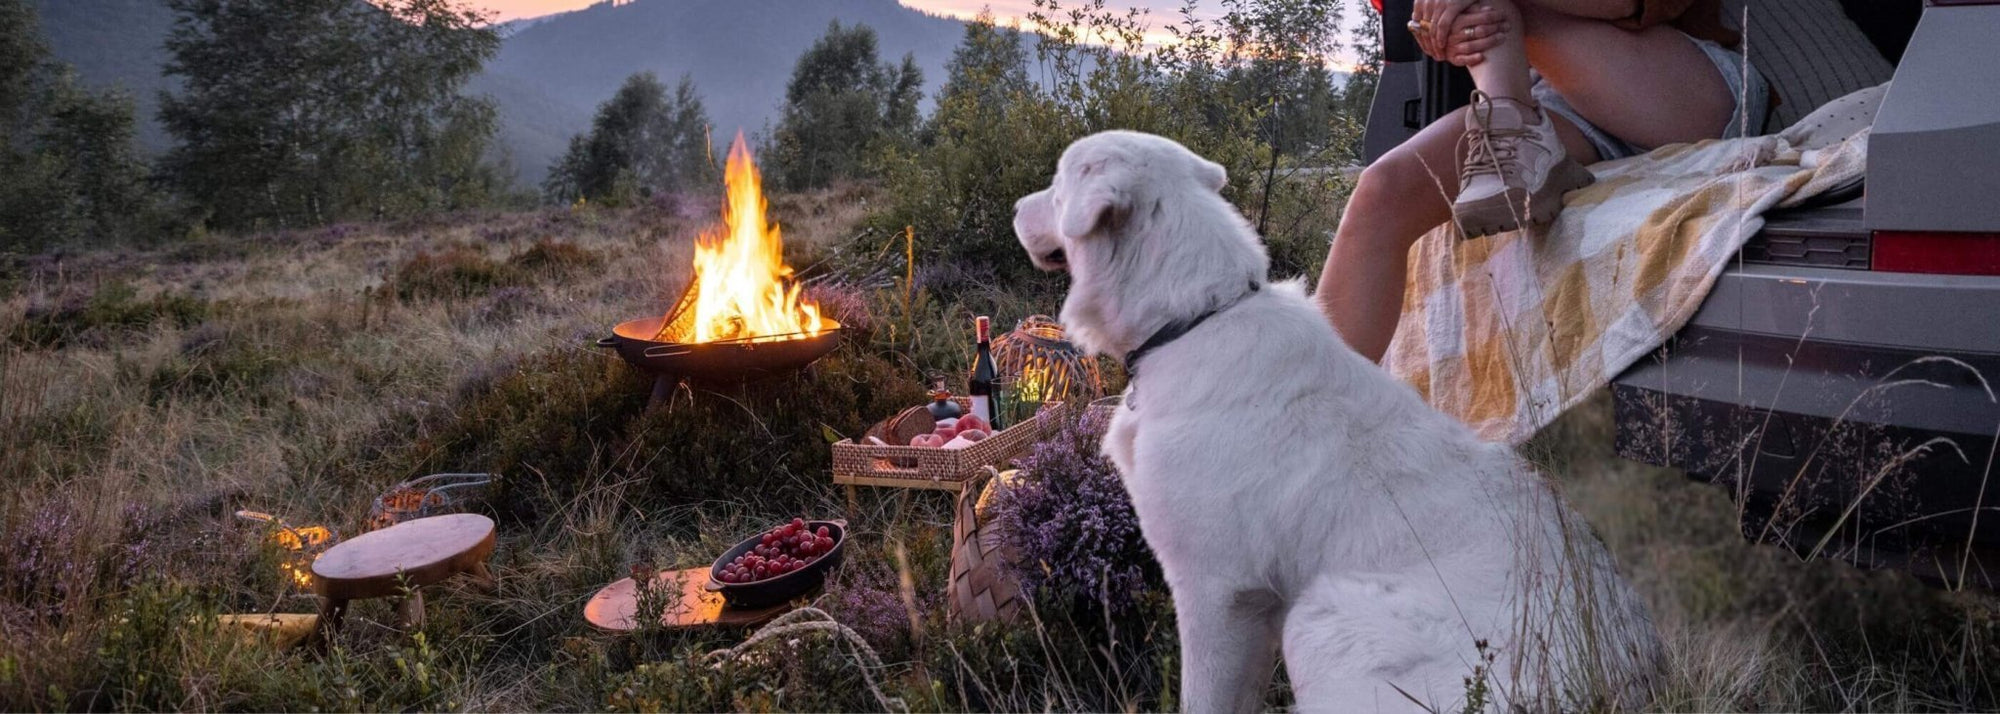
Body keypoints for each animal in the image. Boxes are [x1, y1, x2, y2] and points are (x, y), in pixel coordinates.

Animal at [1016, 131, 1656, 708]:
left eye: (1056, 185)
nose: (1017, 208)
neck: (1196, 318)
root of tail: (1630, 677)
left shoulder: (1217, 593)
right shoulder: (1253, 604)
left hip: (1320, 618)